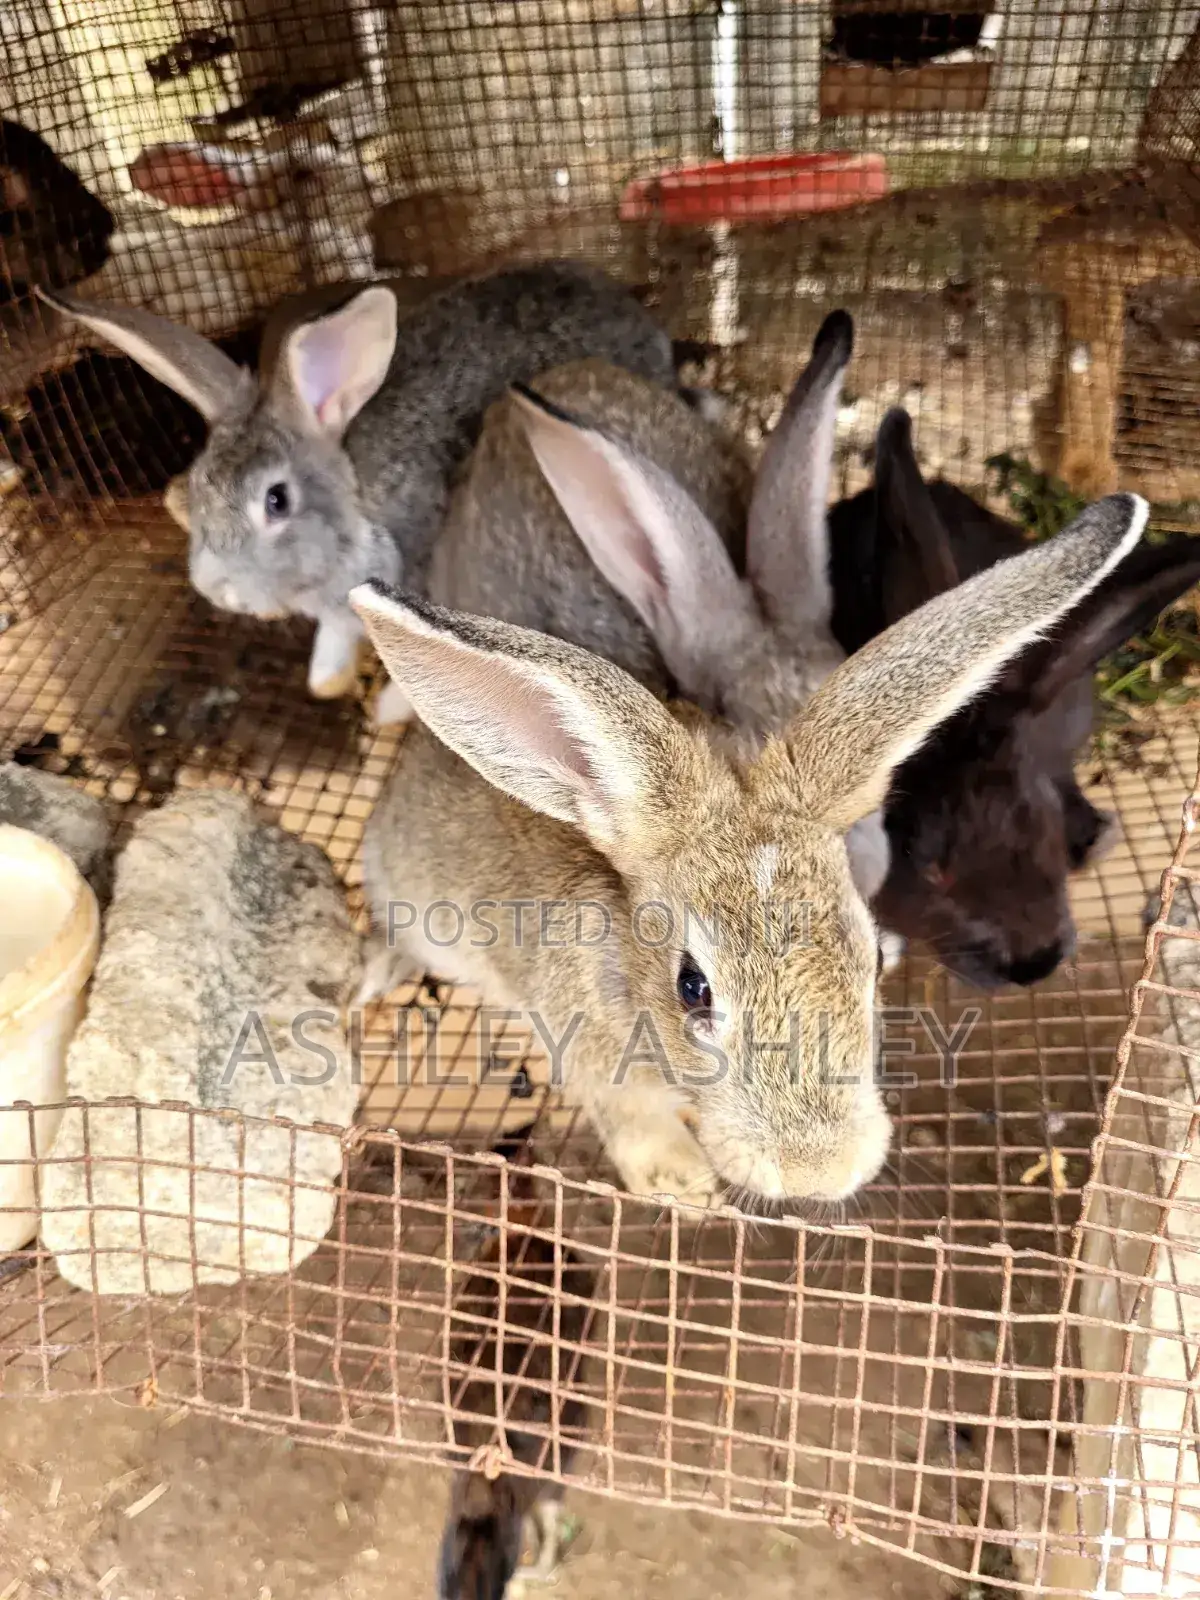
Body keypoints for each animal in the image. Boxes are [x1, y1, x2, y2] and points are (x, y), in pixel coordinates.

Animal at [35, 261, 679, 713]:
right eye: (196, 488)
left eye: (276, 501)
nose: (217, 590)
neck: (354, 506)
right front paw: (325, 681)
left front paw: (387, 707)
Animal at [348, 453, 1147, 1209]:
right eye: (692, 988)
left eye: (869, 960)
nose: (815, 1174)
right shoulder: (589, 1050)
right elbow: (629, 1114)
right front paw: (686, 1190)